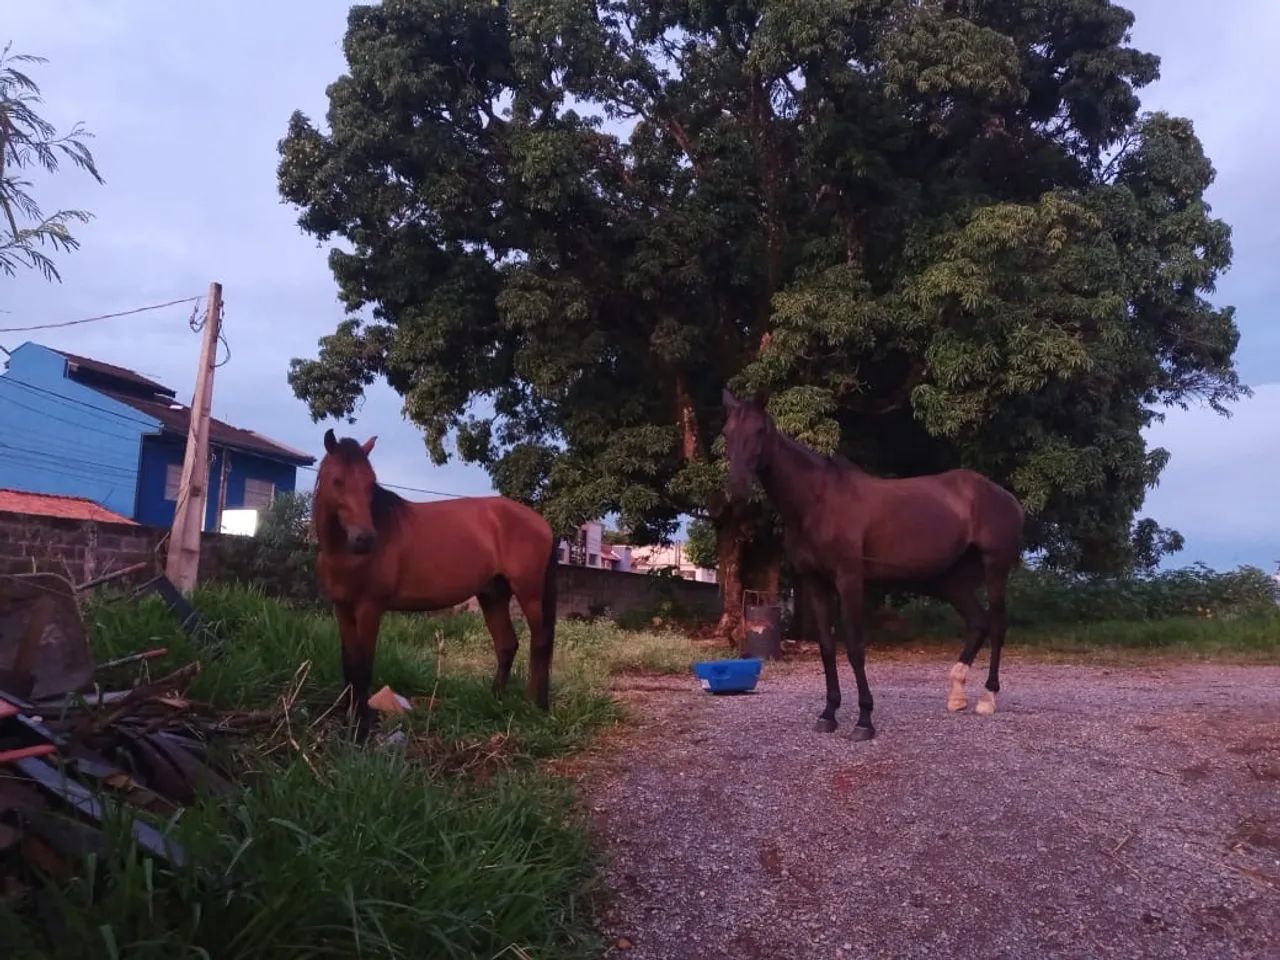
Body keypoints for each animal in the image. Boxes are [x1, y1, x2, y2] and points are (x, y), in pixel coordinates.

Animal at [312, 429, 558, 739]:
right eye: (337, 480)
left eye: (370, 483)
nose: (365, 539)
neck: (344, 553)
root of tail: (541, 523)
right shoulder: (343, 609)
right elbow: (349, 666)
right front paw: (351, 722)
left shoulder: (369, 609)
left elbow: (363, 667)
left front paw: (363, 728)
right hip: (492, 595)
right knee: (507, 644)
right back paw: (495, 700)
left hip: (529, 593)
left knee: (540, 642)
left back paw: (536, 705)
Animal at [721, 390, 1025, 740]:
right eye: (727, 432)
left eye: (759, 431)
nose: (736, 488)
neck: (817, 501)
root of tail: (1008, 499)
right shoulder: (814, 582)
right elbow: (827, 647)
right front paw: (828, 715)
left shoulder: (850, 579)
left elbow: (855, 647)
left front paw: (864, 721)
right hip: (951, 578)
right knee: (978, 623)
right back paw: (957, 695)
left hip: (995, 568)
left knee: (998, 625)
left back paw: (988, 697)